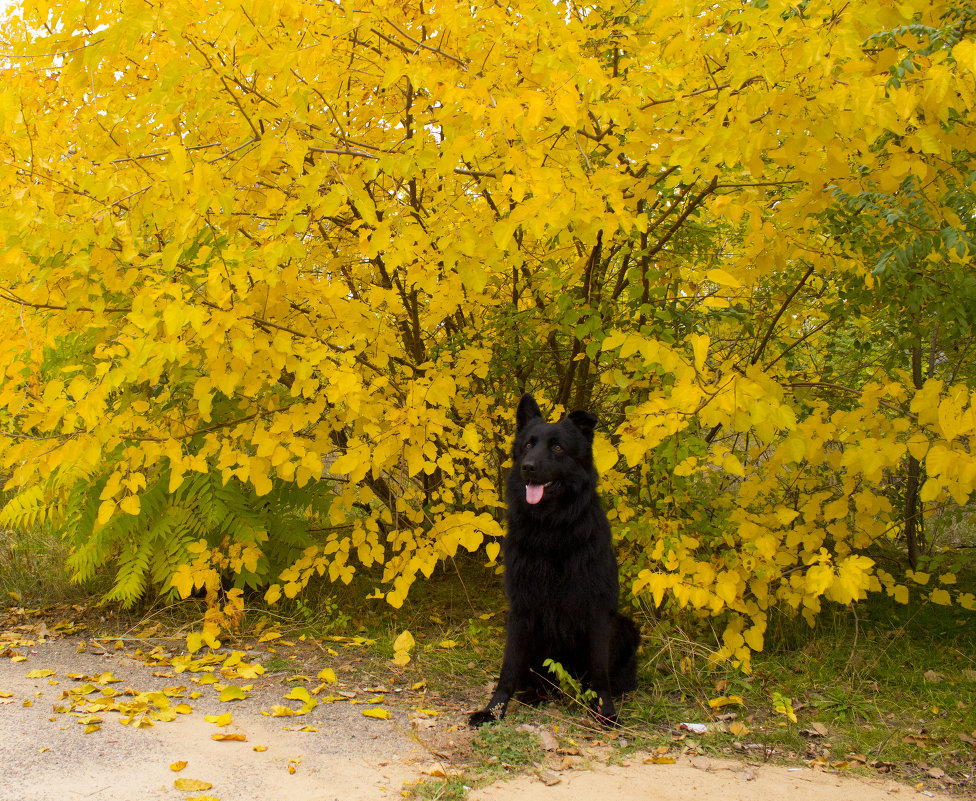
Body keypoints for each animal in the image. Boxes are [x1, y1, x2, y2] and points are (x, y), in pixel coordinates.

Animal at [468, 394, 636, 724]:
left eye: (557, 447)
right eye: (527, 445)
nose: (527, 468)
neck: (551, 529)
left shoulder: (598, 610)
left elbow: (599, 670)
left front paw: (605, 711)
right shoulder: (521, 609)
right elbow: (508, 667)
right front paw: (493, 709)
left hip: (626, 626)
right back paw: (534, 694)